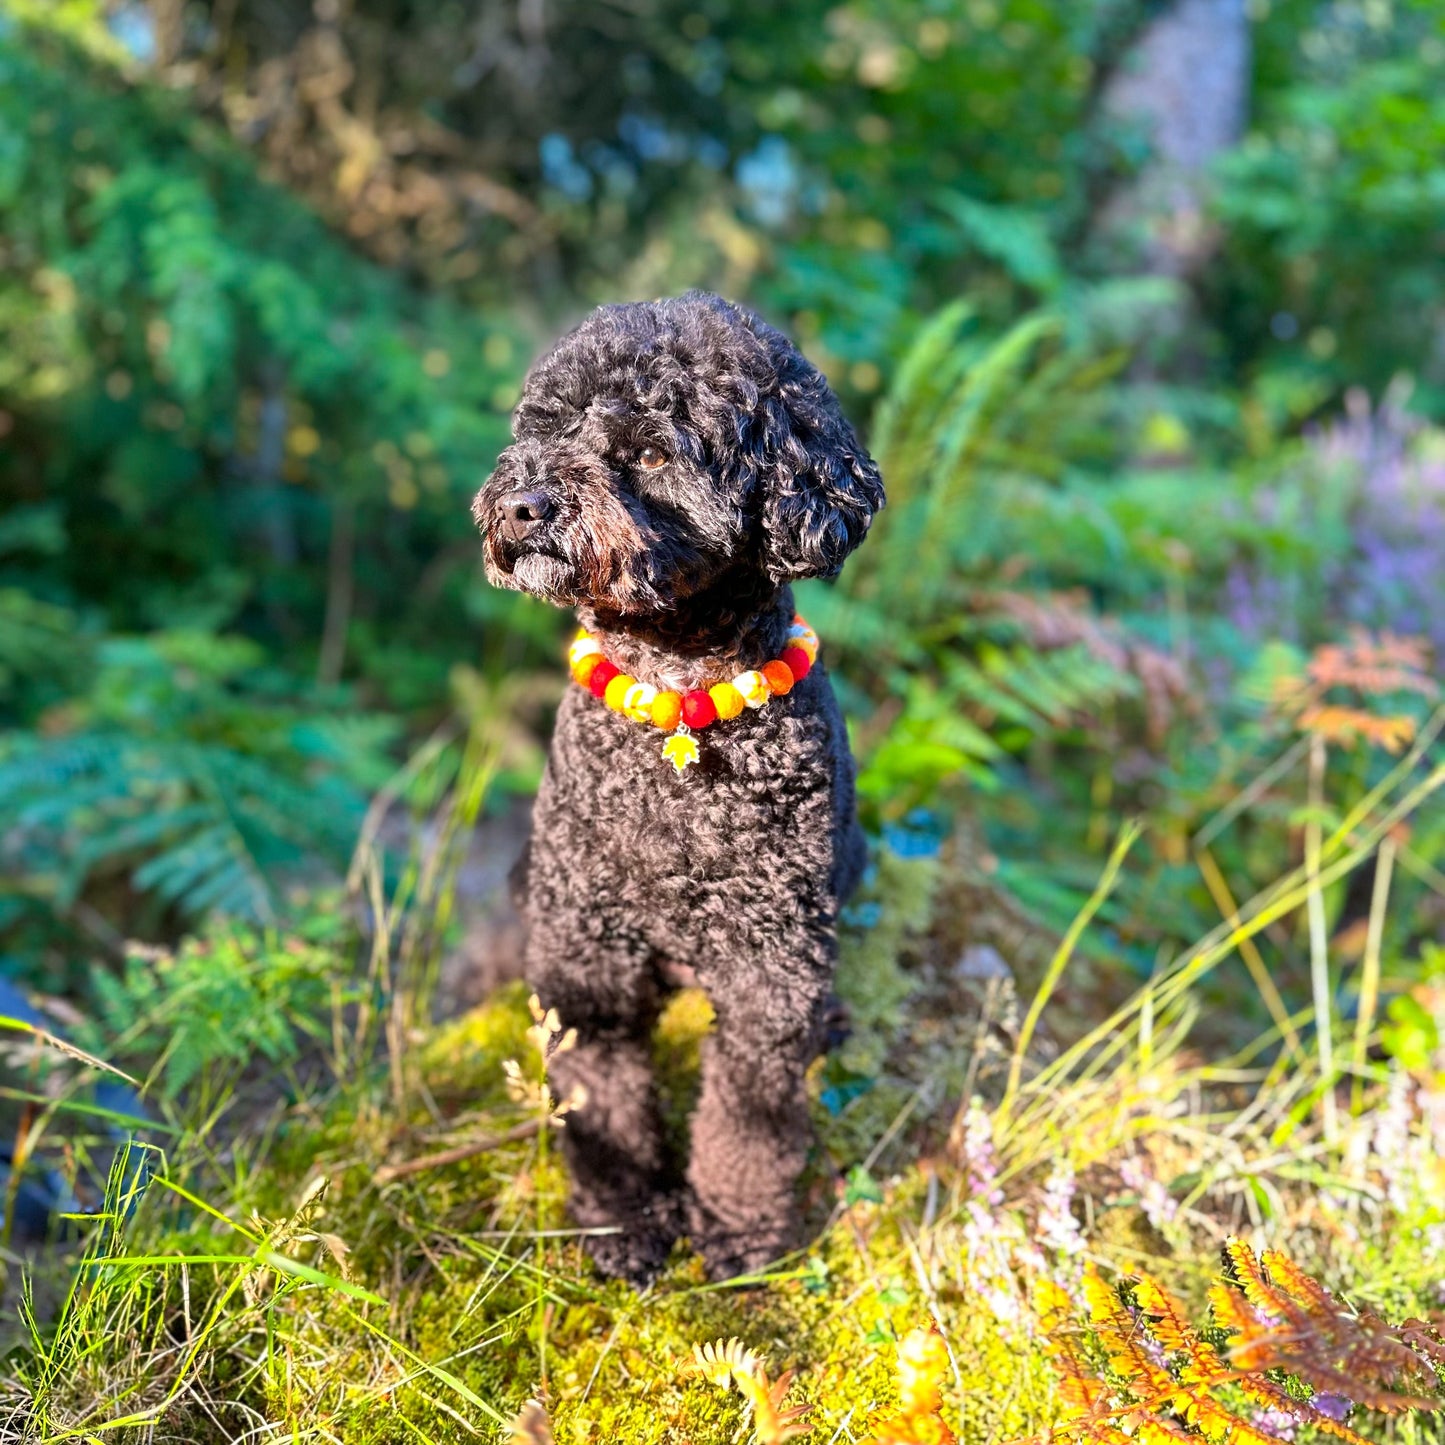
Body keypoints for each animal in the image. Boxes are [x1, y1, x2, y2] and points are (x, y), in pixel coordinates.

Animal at [473, 287, 878, 1283]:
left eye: (653, 451)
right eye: (547, 427)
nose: (525, 503)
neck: (675, 701)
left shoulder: (770, 969)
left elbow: (750, 1120)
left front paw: (737, 1228)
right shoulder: (588, 958)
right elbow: (605, 1105)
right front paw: (622, 1221)